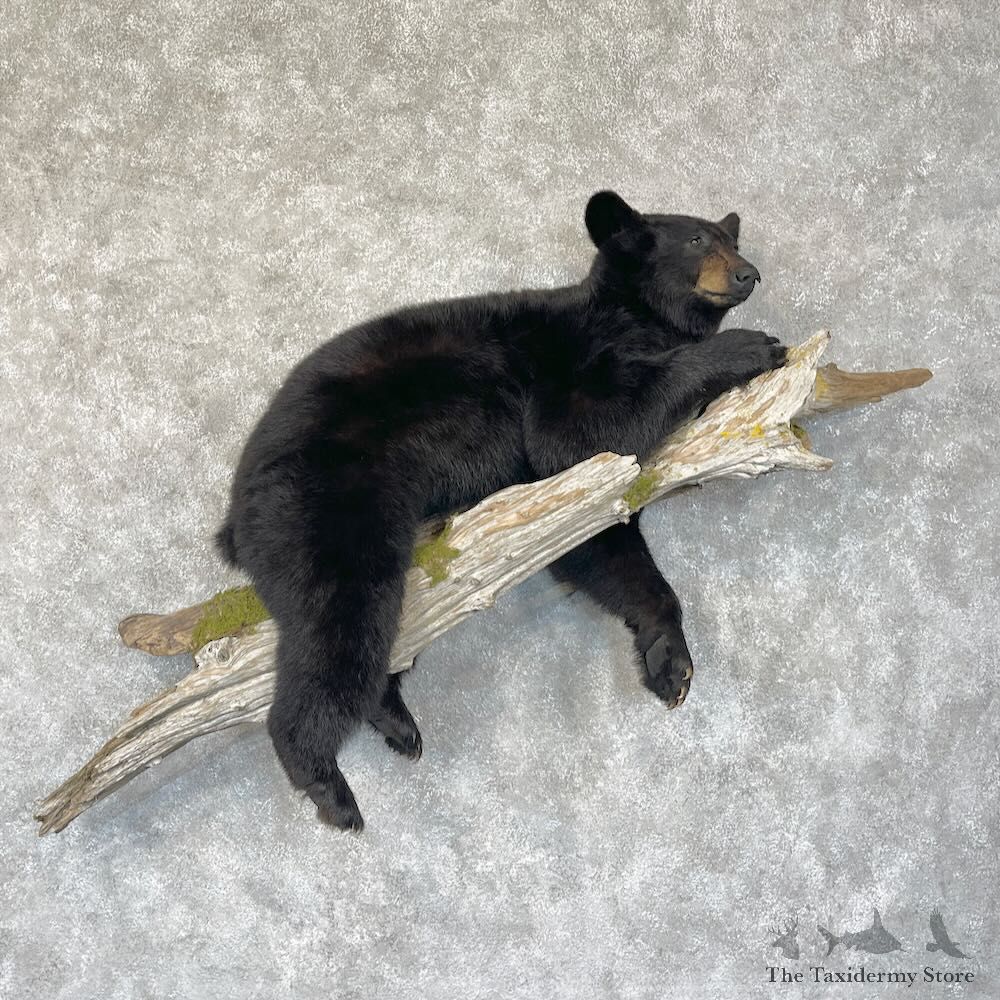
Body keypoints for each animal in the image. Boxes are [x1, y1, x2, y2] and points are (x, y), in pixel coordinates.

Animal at [215, 190, 785, 831]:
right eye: (696, 240)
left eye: (733, 239)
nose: (748, 273)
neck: (636, 317)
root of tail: (235, 517)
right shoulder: (573, 358)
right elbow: (574, 430)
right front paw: (750, 347)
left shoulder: (586, 493)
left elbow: (603, 547)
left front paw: (671, 662)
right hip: (321, 502)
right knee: (339, 619)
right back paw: (325, 780)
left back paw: (394, 720)